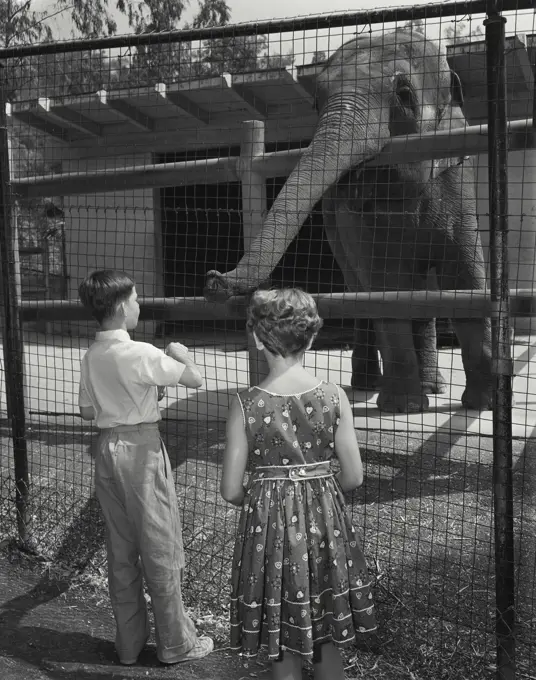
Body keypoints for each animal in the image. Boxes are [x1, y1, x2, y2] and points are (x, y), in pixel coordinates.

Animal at [205, 29, 494, 414]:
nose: (213, 280)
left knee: (426, 294)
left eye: (404, 94)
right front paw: (402, 407)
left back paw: (433, 386)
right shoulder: (357, 224)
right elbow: (387, 290)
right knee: (362, 291)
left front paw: (483, 404)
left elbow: (466, 280)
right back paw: (370, 385)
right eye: (317, 101)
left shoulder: (458, 185)